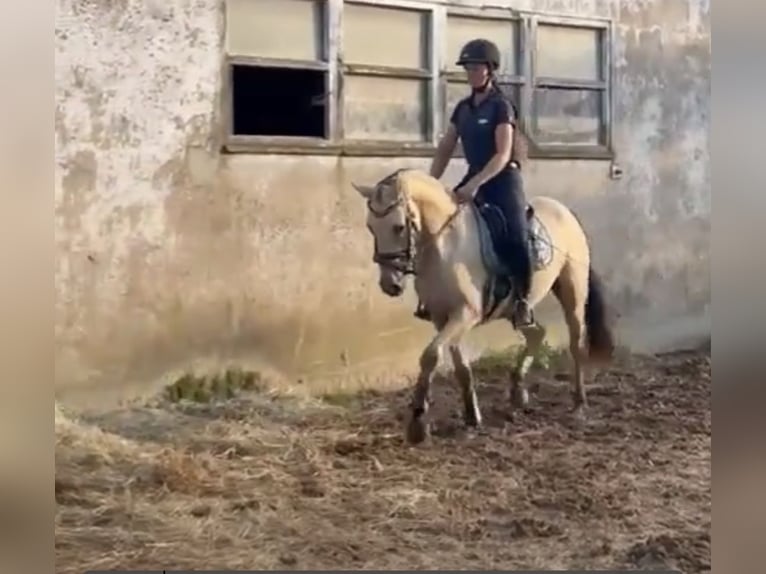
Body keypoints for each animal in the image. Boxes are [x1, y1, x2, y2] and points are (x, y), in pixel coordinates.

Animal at [354, 166, 616, 446]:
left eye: (399, 227)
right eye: (370, 227)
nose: (389, 284)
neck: (445, 246)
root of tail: (564, 210)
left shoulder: (464, 314)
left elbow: (431, 356)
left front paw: (417, 422)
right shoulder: (442, 317)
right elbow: (460, 366)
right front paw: (472, 415)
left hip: (572, 291)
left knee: (576, 343)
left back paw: (579, 403)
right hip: (515, 309)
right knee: (537, 333)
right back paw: (518, 392)